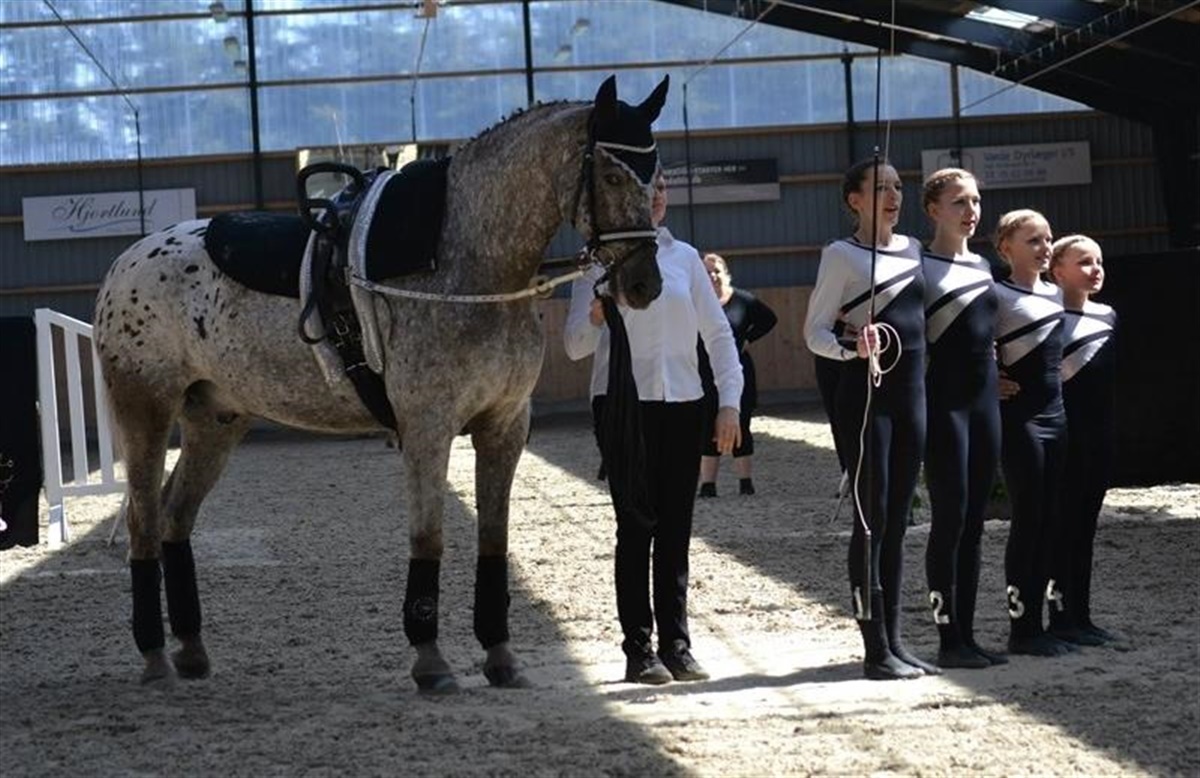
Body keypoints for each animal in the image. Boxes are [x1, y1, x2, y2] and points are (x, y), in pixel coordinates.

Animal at [93, 75, 669, 692]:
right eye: (611, 175)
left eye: (656, 174)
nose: (644, 284)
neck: (464, 263)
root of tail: (125, 262)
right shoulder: (427, 429)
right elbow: (429, 537)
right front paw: (431, 661)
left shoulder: (505, 427)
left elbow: (494, 540)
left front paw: (500, 657)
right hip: (146, 410)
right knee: (143, 522)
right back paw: (154, 657)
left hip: (215, 422)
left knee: (176, 516)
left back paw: (192, 652)